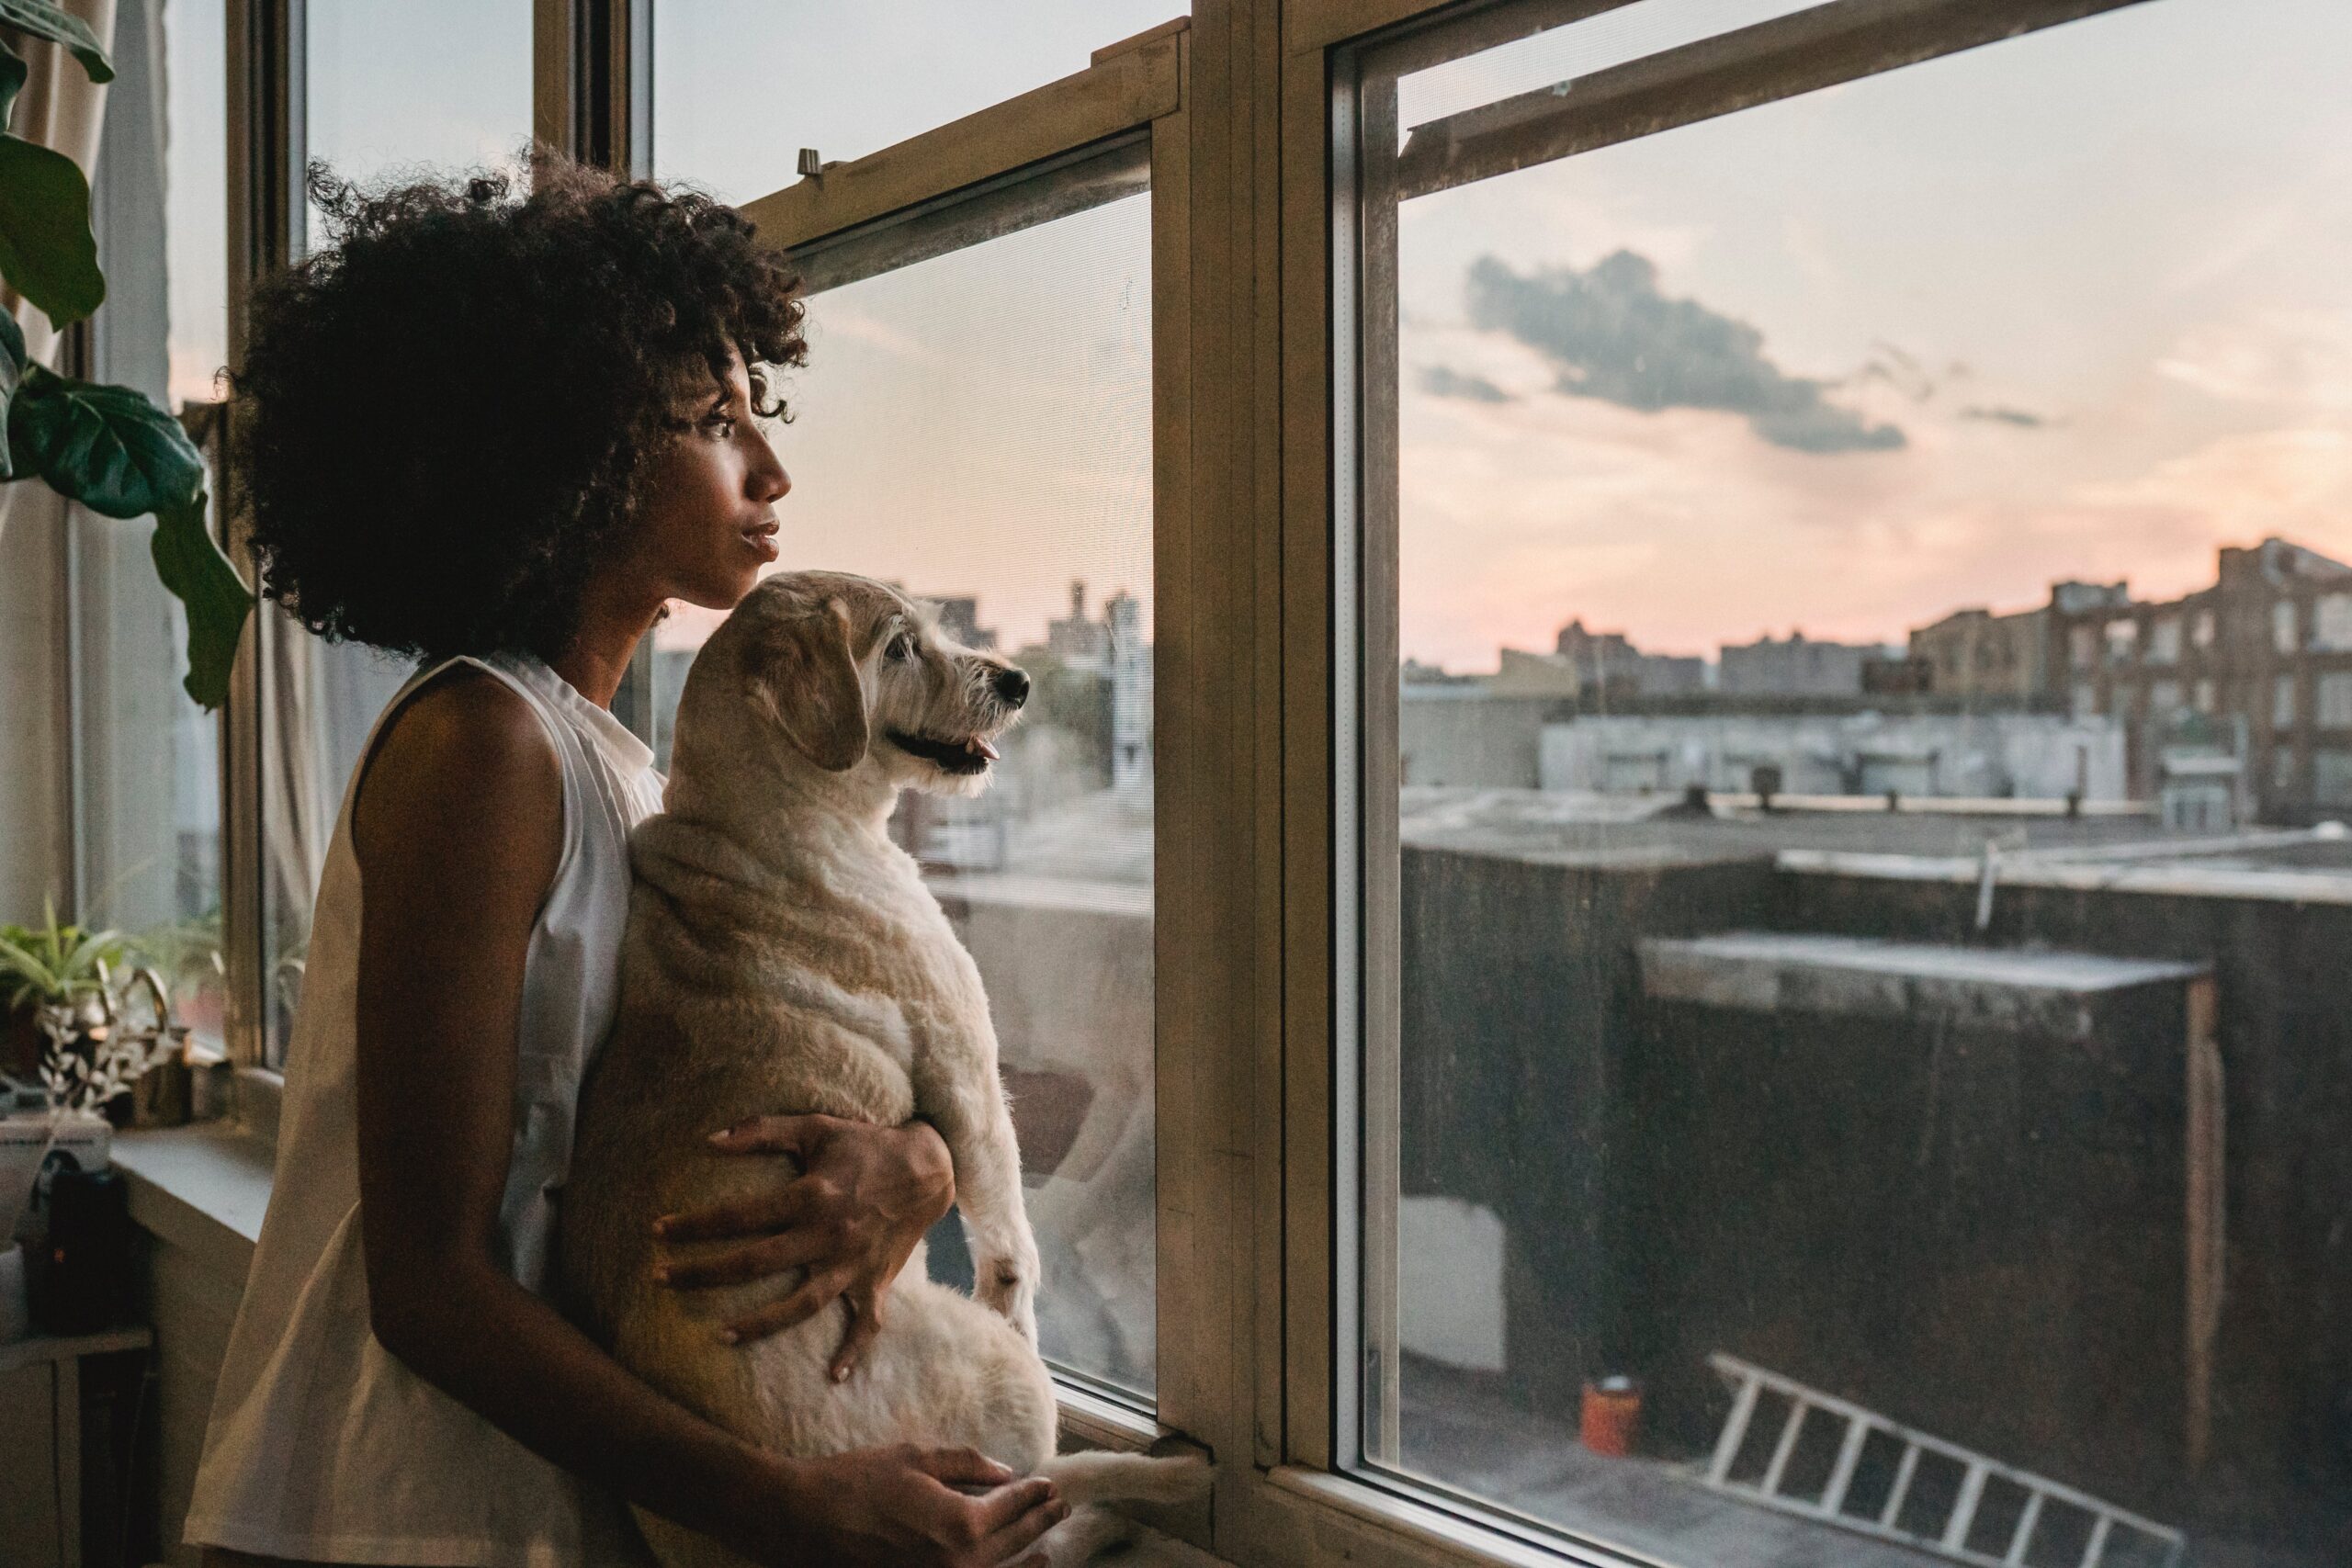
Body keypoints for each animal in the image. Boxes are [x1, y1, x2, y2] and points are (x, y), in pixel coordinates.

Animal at [560, 576, 1204, 1568]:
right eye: (899, 648)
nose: (1018, 682)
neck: (764, 819)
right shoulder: (968, 1069)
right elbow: (1010, 1238)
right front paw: (1019, 1289)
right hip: (1001, 1387)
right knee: (1042, 1490)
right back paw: (1163, 1485)